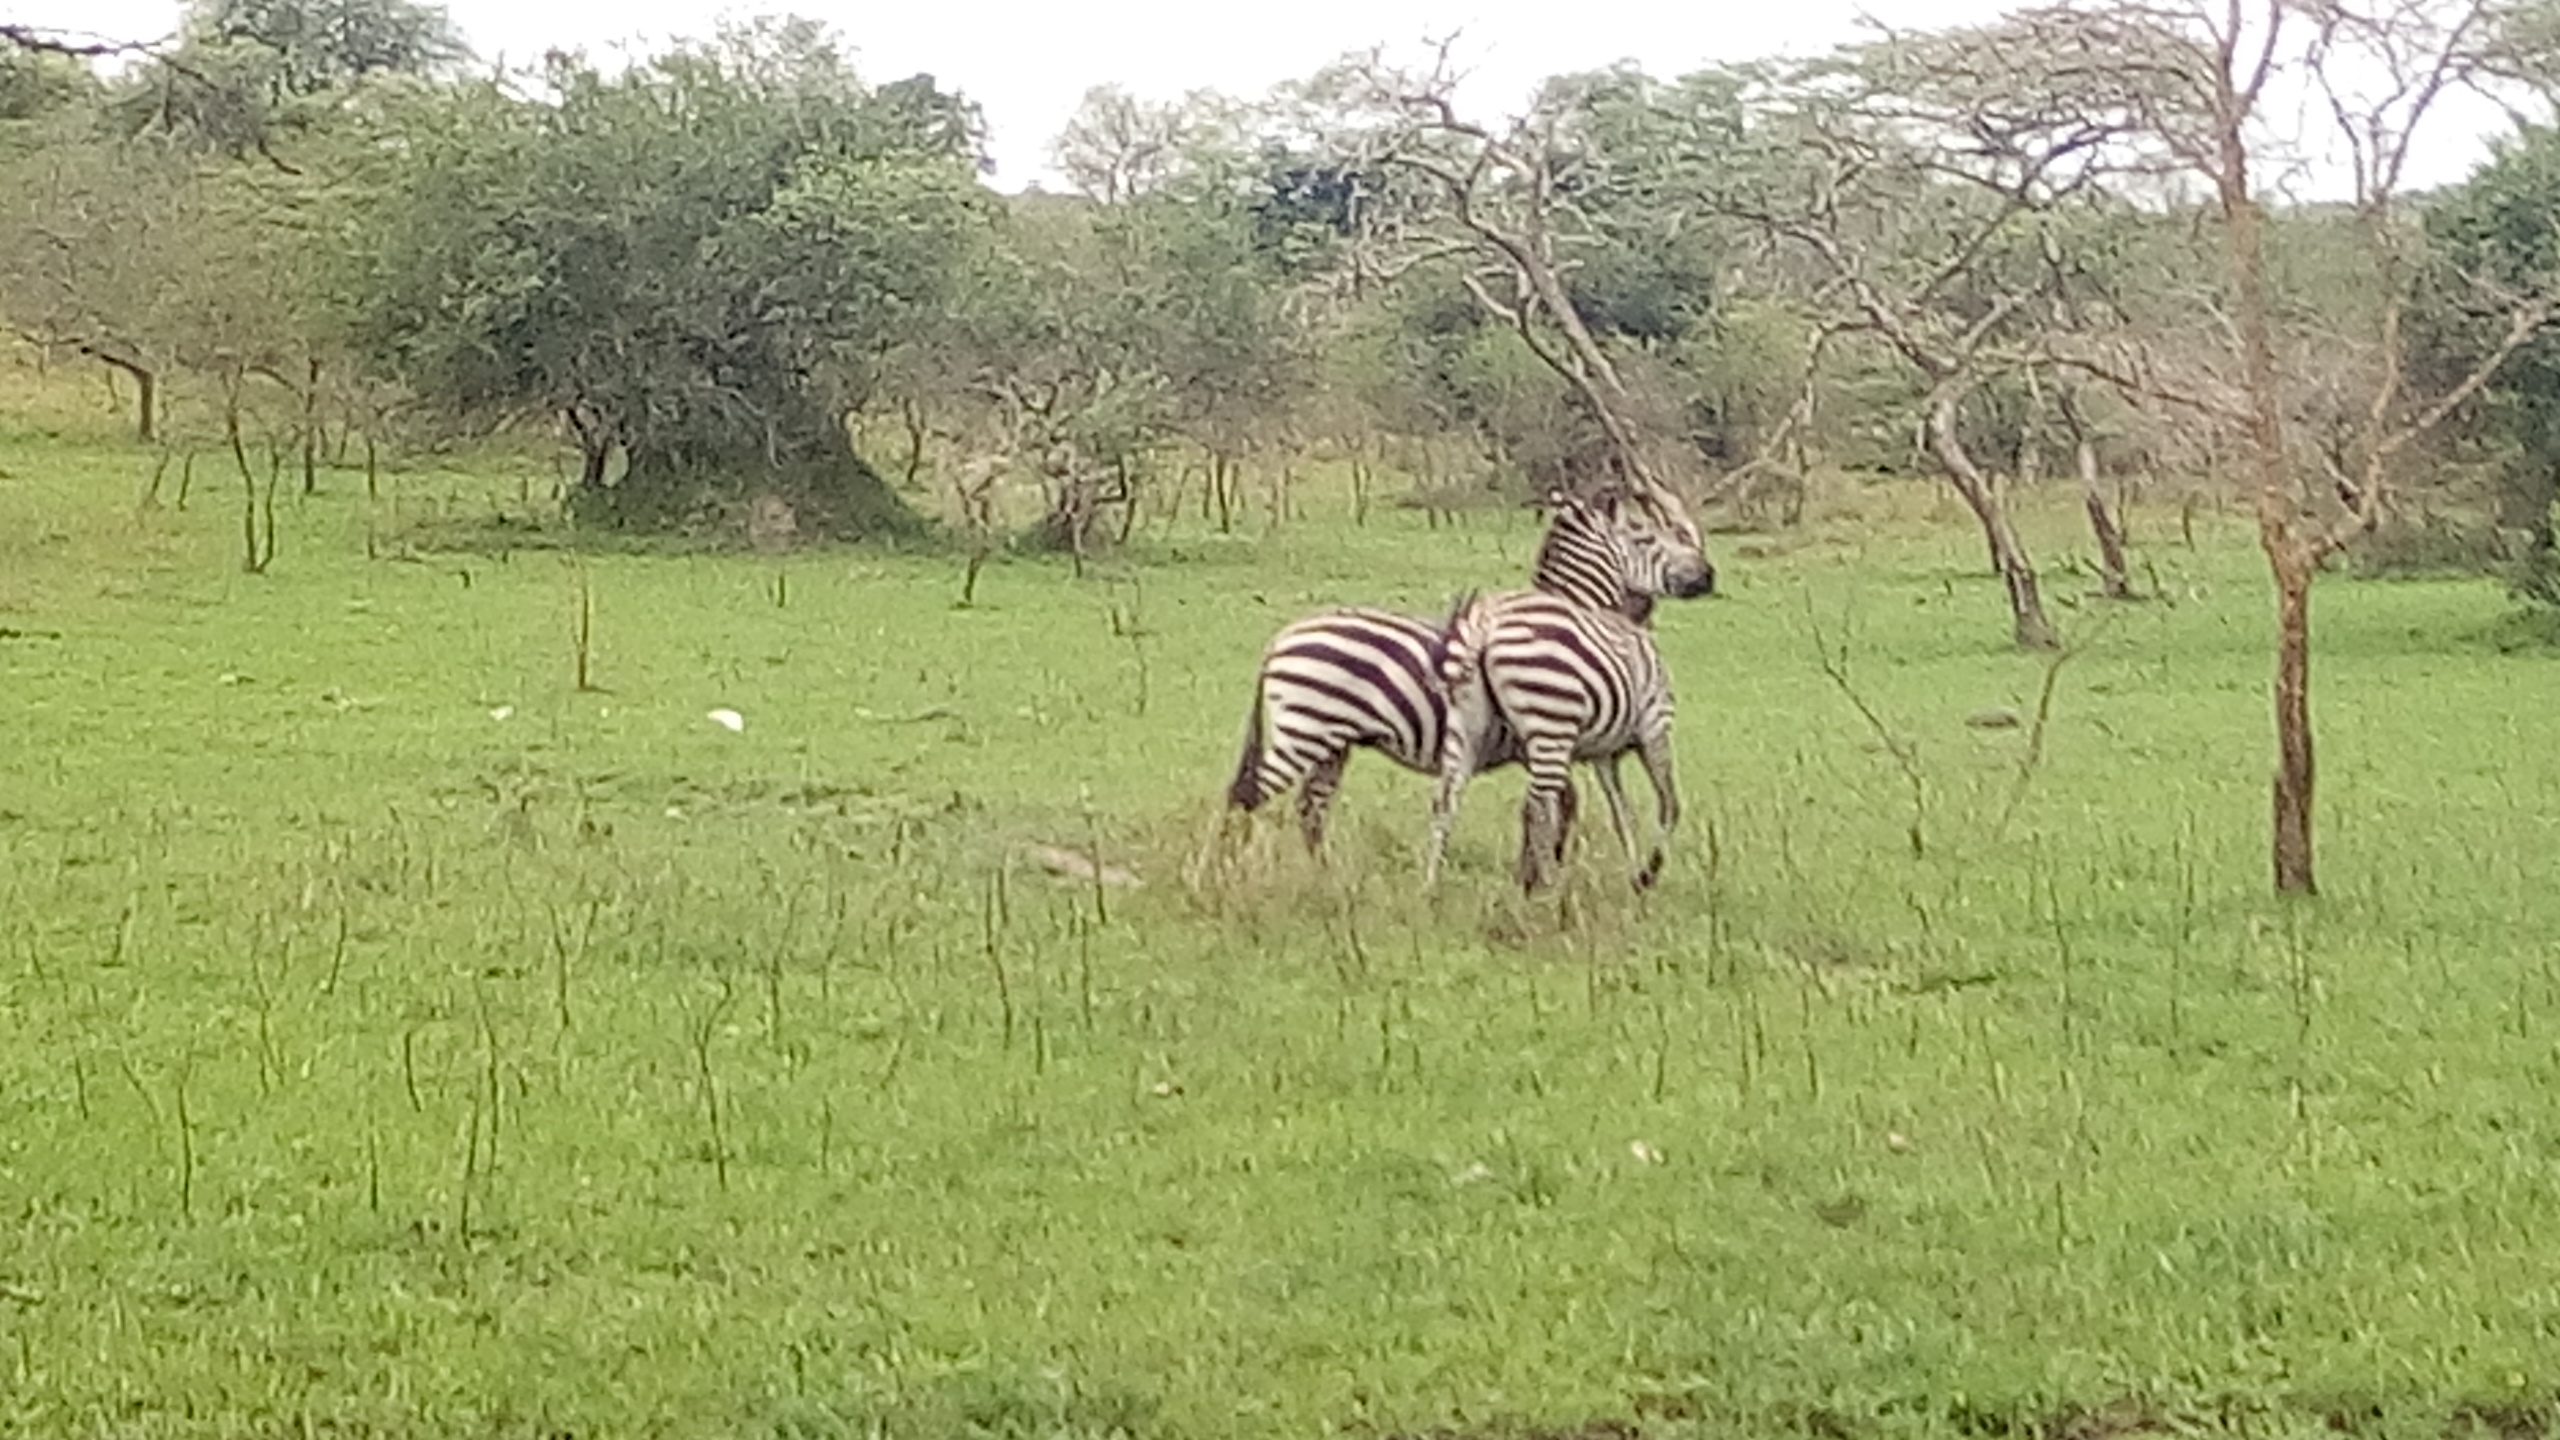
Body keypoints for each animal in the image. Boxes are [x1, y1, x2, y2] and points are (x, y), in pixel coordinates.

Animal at [1228, 486, 1689, 855]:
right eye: (1646, 535)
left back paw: (1323, 876)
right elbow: (1562, 810)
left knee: (1309, 808)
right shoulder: (1547, 739)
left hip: (1331, 742)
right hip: (1305, 731)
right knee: (1248, 794)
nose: (1701, 577)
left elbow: (1565, 809)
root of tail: (1279, 641)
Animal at [1433, 476, 1710, 891]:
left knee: (1447, 799)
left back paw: (1430, 885)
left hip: (1468, 728)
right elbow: (1669, 806)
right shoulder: (1653, 726)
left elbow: (1620, 813)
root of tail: (1485, 626)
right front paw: (1647, 875)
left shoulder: (1602, 751)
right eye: (1646, 536)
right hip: (1550, 726)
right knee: (1537, 808)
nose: (1708, 575)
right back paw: (1552, 893)